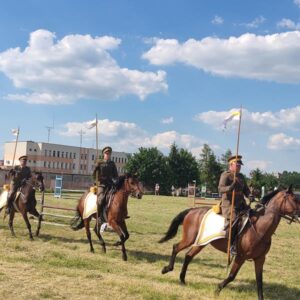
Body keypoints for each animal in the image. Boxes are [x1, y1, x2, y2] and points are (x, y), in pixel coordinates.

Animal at [161, 186, 298, 298]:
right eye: (295, 199)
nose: (299, 215)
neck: (259, 227)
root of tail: (192, 210)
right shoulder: (240, 256)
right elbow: (232, 275)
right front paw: (217, 290)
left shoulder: (260, 259)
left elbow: (259, 281)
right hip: (190, 239)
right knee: (176, 247)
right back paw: (167, 269)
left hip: (202, 242)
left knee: (188, 255)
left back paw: (182, 280)